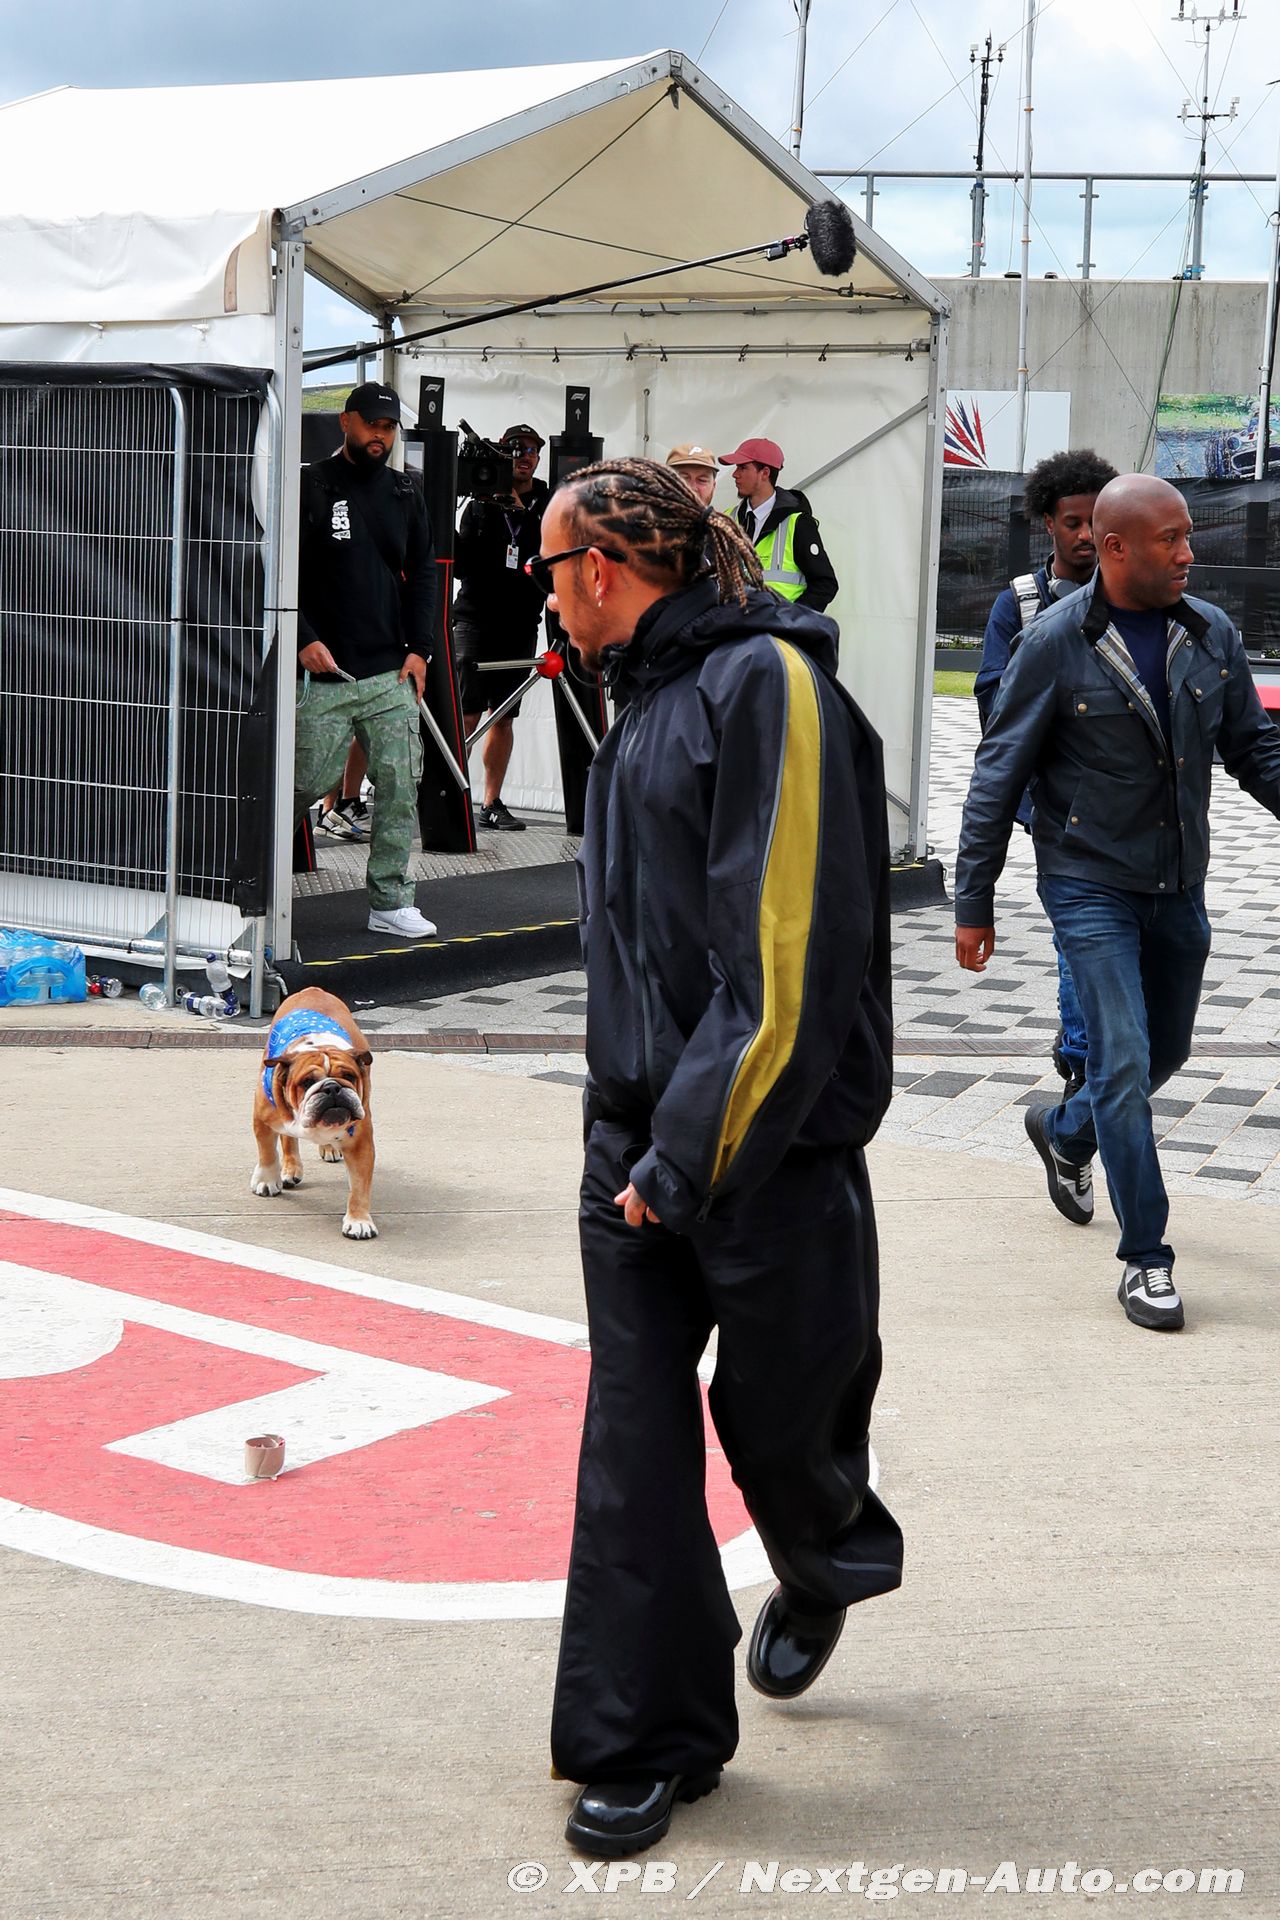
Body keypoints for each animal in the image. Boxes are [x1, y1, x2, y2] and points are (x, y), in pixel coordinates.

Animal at [251, 988, 377, 1239]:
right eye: (307, 1082)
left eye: (349, 1077)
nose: (332, 1087)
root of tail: (313, 989)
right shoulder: (262, 1119)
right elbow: (267, 1152)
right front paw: (268, 1180)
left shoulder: (361, 1143)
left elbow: (359, 1186)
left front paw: (359, 1220)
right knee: (288, 1139)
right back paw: (291, 1168)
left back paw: (328, 1148)